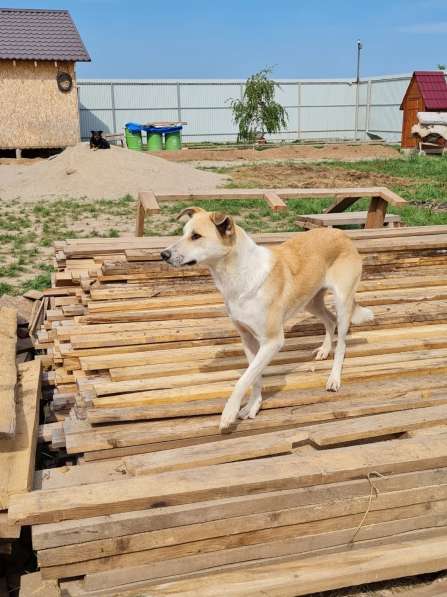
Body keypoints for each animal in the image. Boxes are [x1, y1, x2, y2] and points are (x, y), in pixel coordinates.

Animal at [161, 210, 374, 434]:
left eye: (196, 236)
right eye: (183, 233)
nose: (163, 254)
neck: (238, 275)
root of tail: (342, 234)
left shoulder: (272, 342)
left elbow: (243, 379)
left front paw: (229, 413)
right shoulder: (247, 338)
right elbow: (254, 377)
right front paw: (253, 405)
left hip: (342, 301)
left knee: (341, 342)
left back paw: (334, 377)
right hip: (310, 301)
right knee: (330, 320)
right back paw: (325, 350)